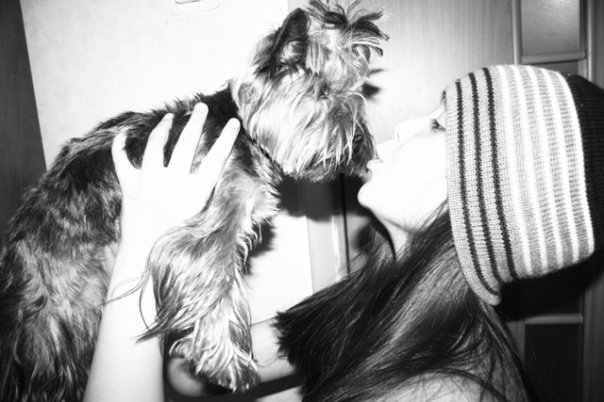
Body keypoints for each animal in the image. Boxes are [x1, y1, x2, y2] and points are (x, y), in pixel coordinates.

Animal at [0, 1, 386, 400]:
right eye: (323, 94)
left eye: (355, 95)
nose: (361, 143)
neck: (245, 131)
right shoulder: (210, 225)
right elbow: (217, 280)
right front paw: (226, 361)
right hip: (55, 315)